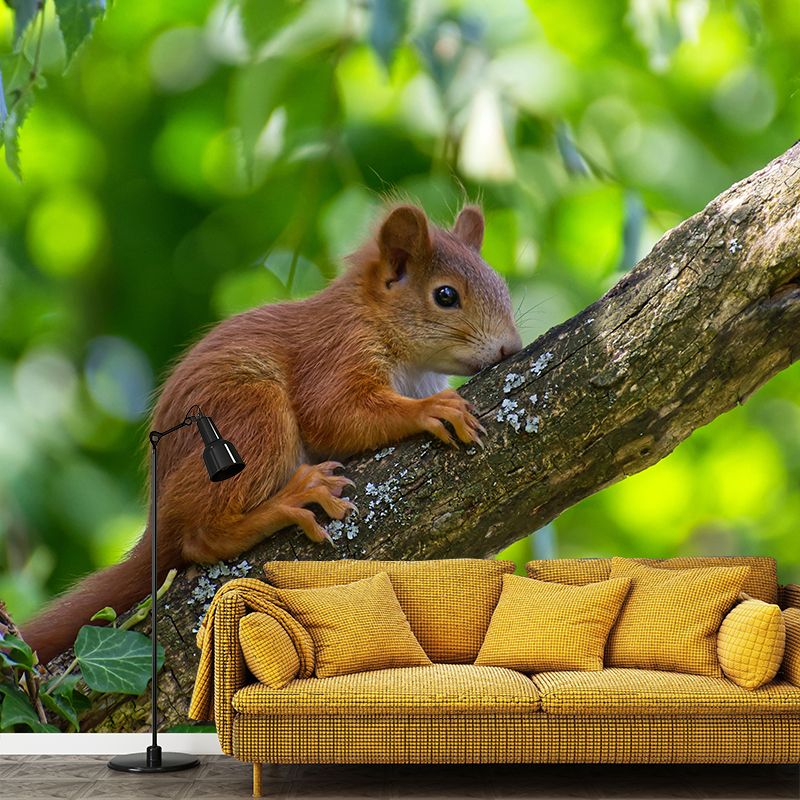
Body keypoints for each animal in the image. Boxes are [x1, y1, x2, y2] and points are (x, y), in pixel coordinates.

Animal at [21, 204, 522, 664]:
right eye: (445, 295)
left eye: (501, 285)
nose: (511, 348)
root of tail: (157, 516)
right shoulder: (335, 352)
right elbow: (334, 414)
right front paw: (431, 409)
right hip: (252, 418)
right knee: (200, 538)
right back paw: (291, 500)